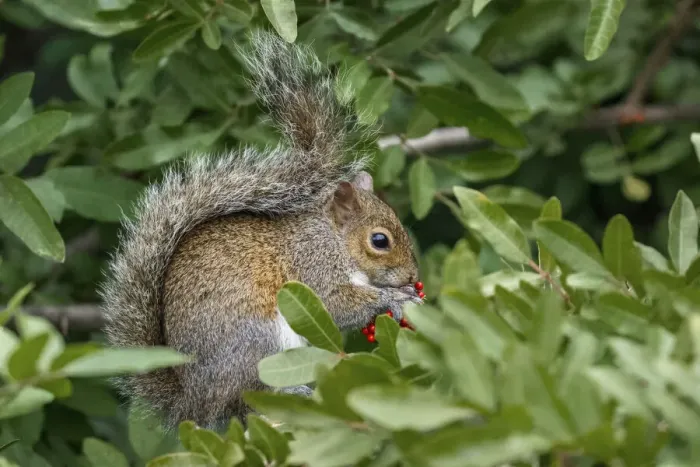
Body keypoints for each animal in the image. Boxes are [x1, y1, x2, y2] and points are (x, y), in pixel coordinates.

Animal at [100, 29, 422, 431]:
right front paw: (394, 298)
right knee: (247, 399)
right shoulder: (312, 267)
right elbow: (335, 303)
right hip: (258, 340)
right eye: (380, 240)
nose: (413, 276)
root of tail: (194, 404)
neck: (334, 240)